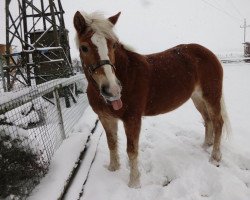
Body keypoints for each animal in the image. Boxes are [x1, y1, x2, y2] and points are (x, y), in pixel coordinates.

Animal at [73, 10, 230, 187]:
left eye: (113, 45)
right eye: (84, 47)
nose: (112, 90)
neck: (127, 73)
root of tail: (209, 53)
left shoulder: (132, 119)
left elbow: (132, 150)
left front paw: (134, 183)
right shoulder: (105, 118)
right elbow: (111, 143)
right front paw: (113, 169)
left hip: (211, 96)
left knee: (218, 122)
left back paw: (215, 157)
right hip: (197, 98)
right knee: (208, 120)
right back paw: (205, 146)